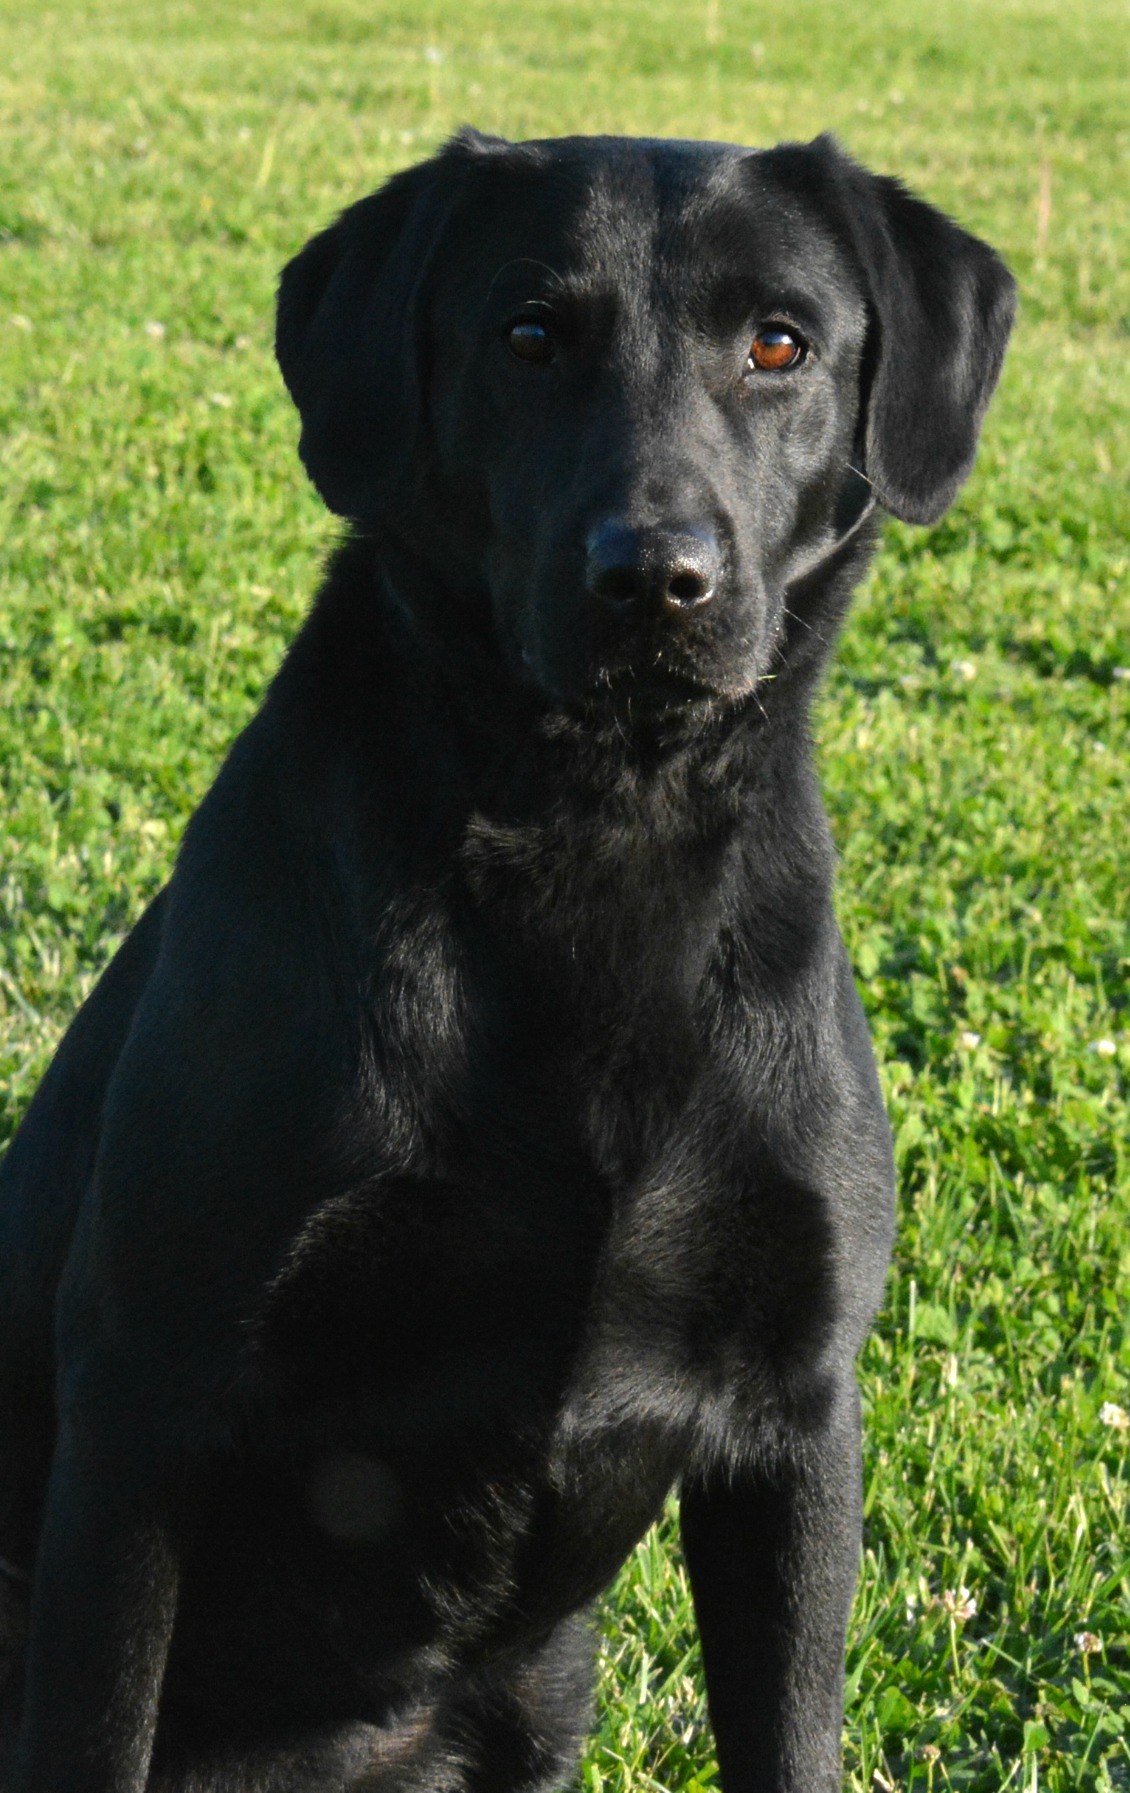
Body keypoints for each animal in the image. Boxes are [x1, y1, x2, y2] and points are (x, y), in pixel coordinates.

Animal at [0, 132, 1018, 1785]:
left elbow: (789, 1735)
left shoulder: (796, 1420)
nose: (654, 577)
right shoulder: (146, 1394)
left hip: (544, 1685)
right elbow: (91, 1731)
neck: (596, 833)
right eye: (529, 335)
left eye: (780, 343)